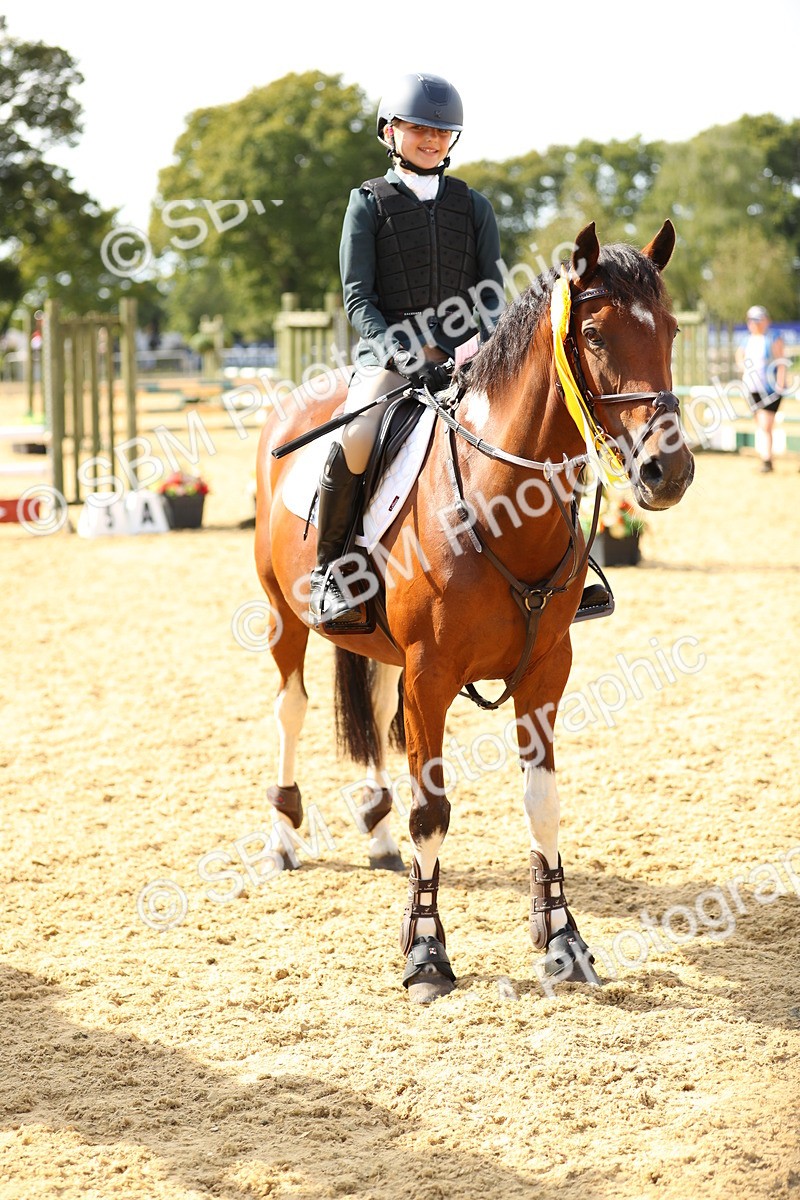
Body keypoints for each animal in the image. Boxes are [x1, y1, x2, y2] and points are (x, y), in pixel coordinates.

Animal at [254, 220, 694, 1003]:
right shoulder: (430, 677)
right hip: (284, 617)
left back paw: (377, 835)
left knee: (370, 713)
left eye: (670, 329)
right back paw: (283, 839)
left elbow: (542, 802)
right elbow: (433, 811)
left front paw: (563, 940)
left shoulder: (546, 671)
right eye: (595, 334)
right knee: (292, 708)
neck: (501, 505)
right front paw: (426, 954)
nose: (666, 472)